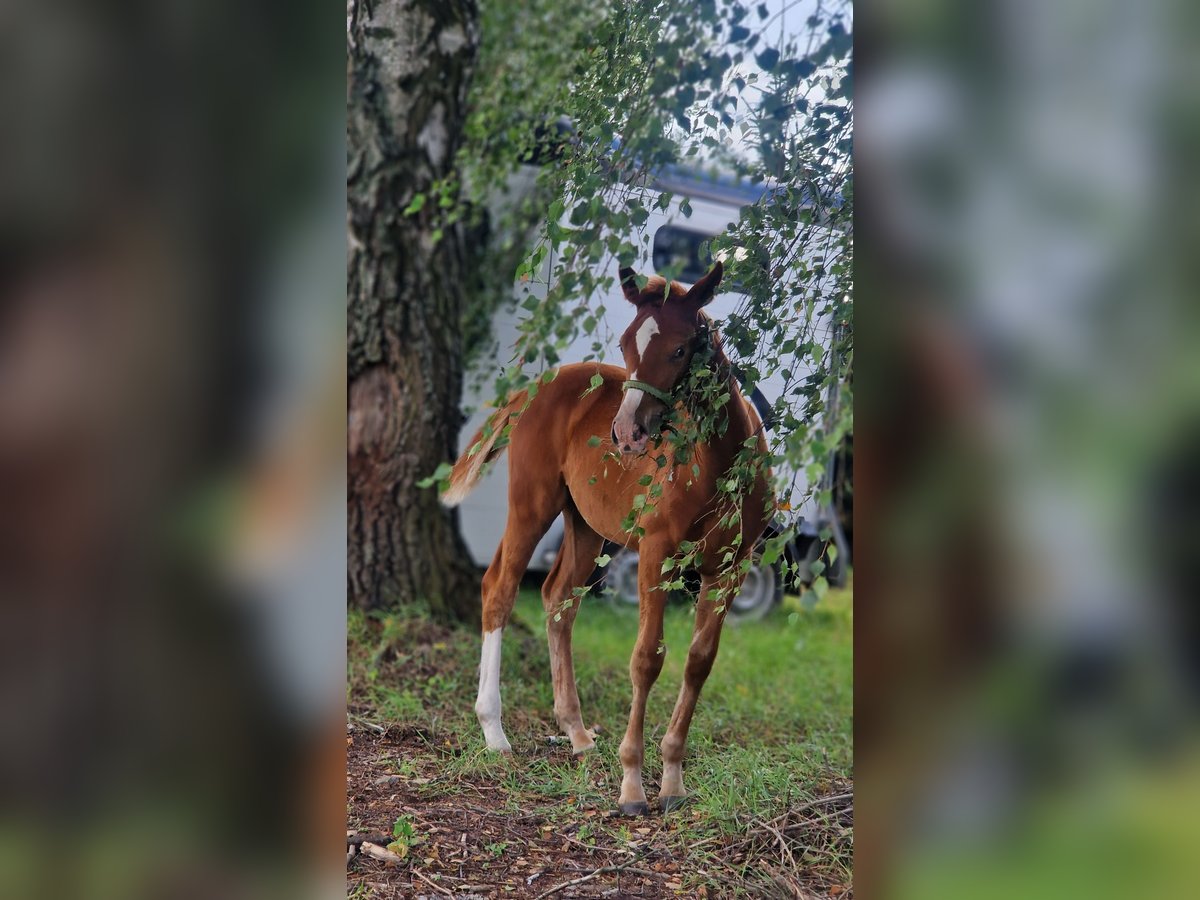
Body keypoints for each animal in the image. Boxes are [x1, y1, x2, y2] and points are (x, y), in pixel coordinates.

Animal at [441, 262, 768, 816]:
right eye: (626, 343)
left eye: (681, 348)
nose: (627, 434)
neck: (720, 463)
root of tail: (534, 387)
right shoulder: (656, 554)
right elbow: (647, 658)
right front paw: (633, 785)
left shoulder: (730, 567)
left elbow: (699, 662)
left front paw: (673, 780)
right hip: (533, 504)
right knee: (499, 589)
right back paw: (494, 732)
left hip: (586, 527)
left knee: (557, 599)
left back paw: (576, 732)